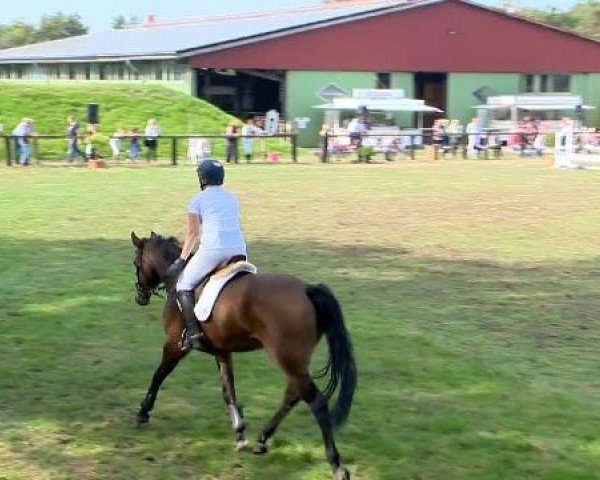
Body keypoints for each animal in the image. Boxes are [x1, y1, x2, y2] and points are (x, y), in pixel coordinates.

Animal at [130, 231, 356, 478]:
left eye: (135, 263)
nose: (140, 297)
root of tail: (309, 289)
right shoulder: (222, 351)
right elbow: (228, 390)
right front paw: (239, 433)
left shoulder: (174, 345)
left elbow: (158, 376)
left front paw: (143, 413)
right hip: (294, 362)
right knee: (292, 394)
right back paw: (262, 439)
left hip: (286, 358)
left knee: (316, 402)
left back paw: (337, 465)